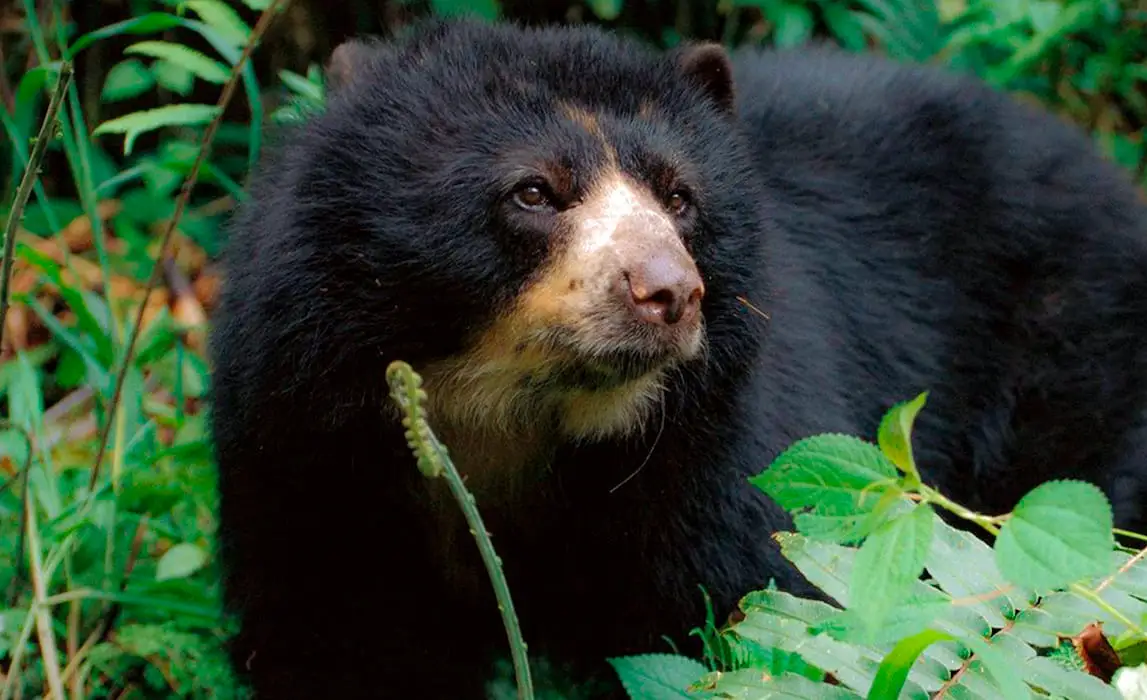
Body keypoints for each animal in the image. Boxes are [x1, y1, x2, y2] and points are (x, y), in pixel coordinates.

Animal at [207, 17, 1147, 699]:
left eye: (679, 196)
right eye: (534, 191)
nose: (670, 291)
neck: (514, 418)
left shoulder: (711, 449)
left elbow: (754, 599)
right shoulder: (306, 442)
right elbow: (338, 626)